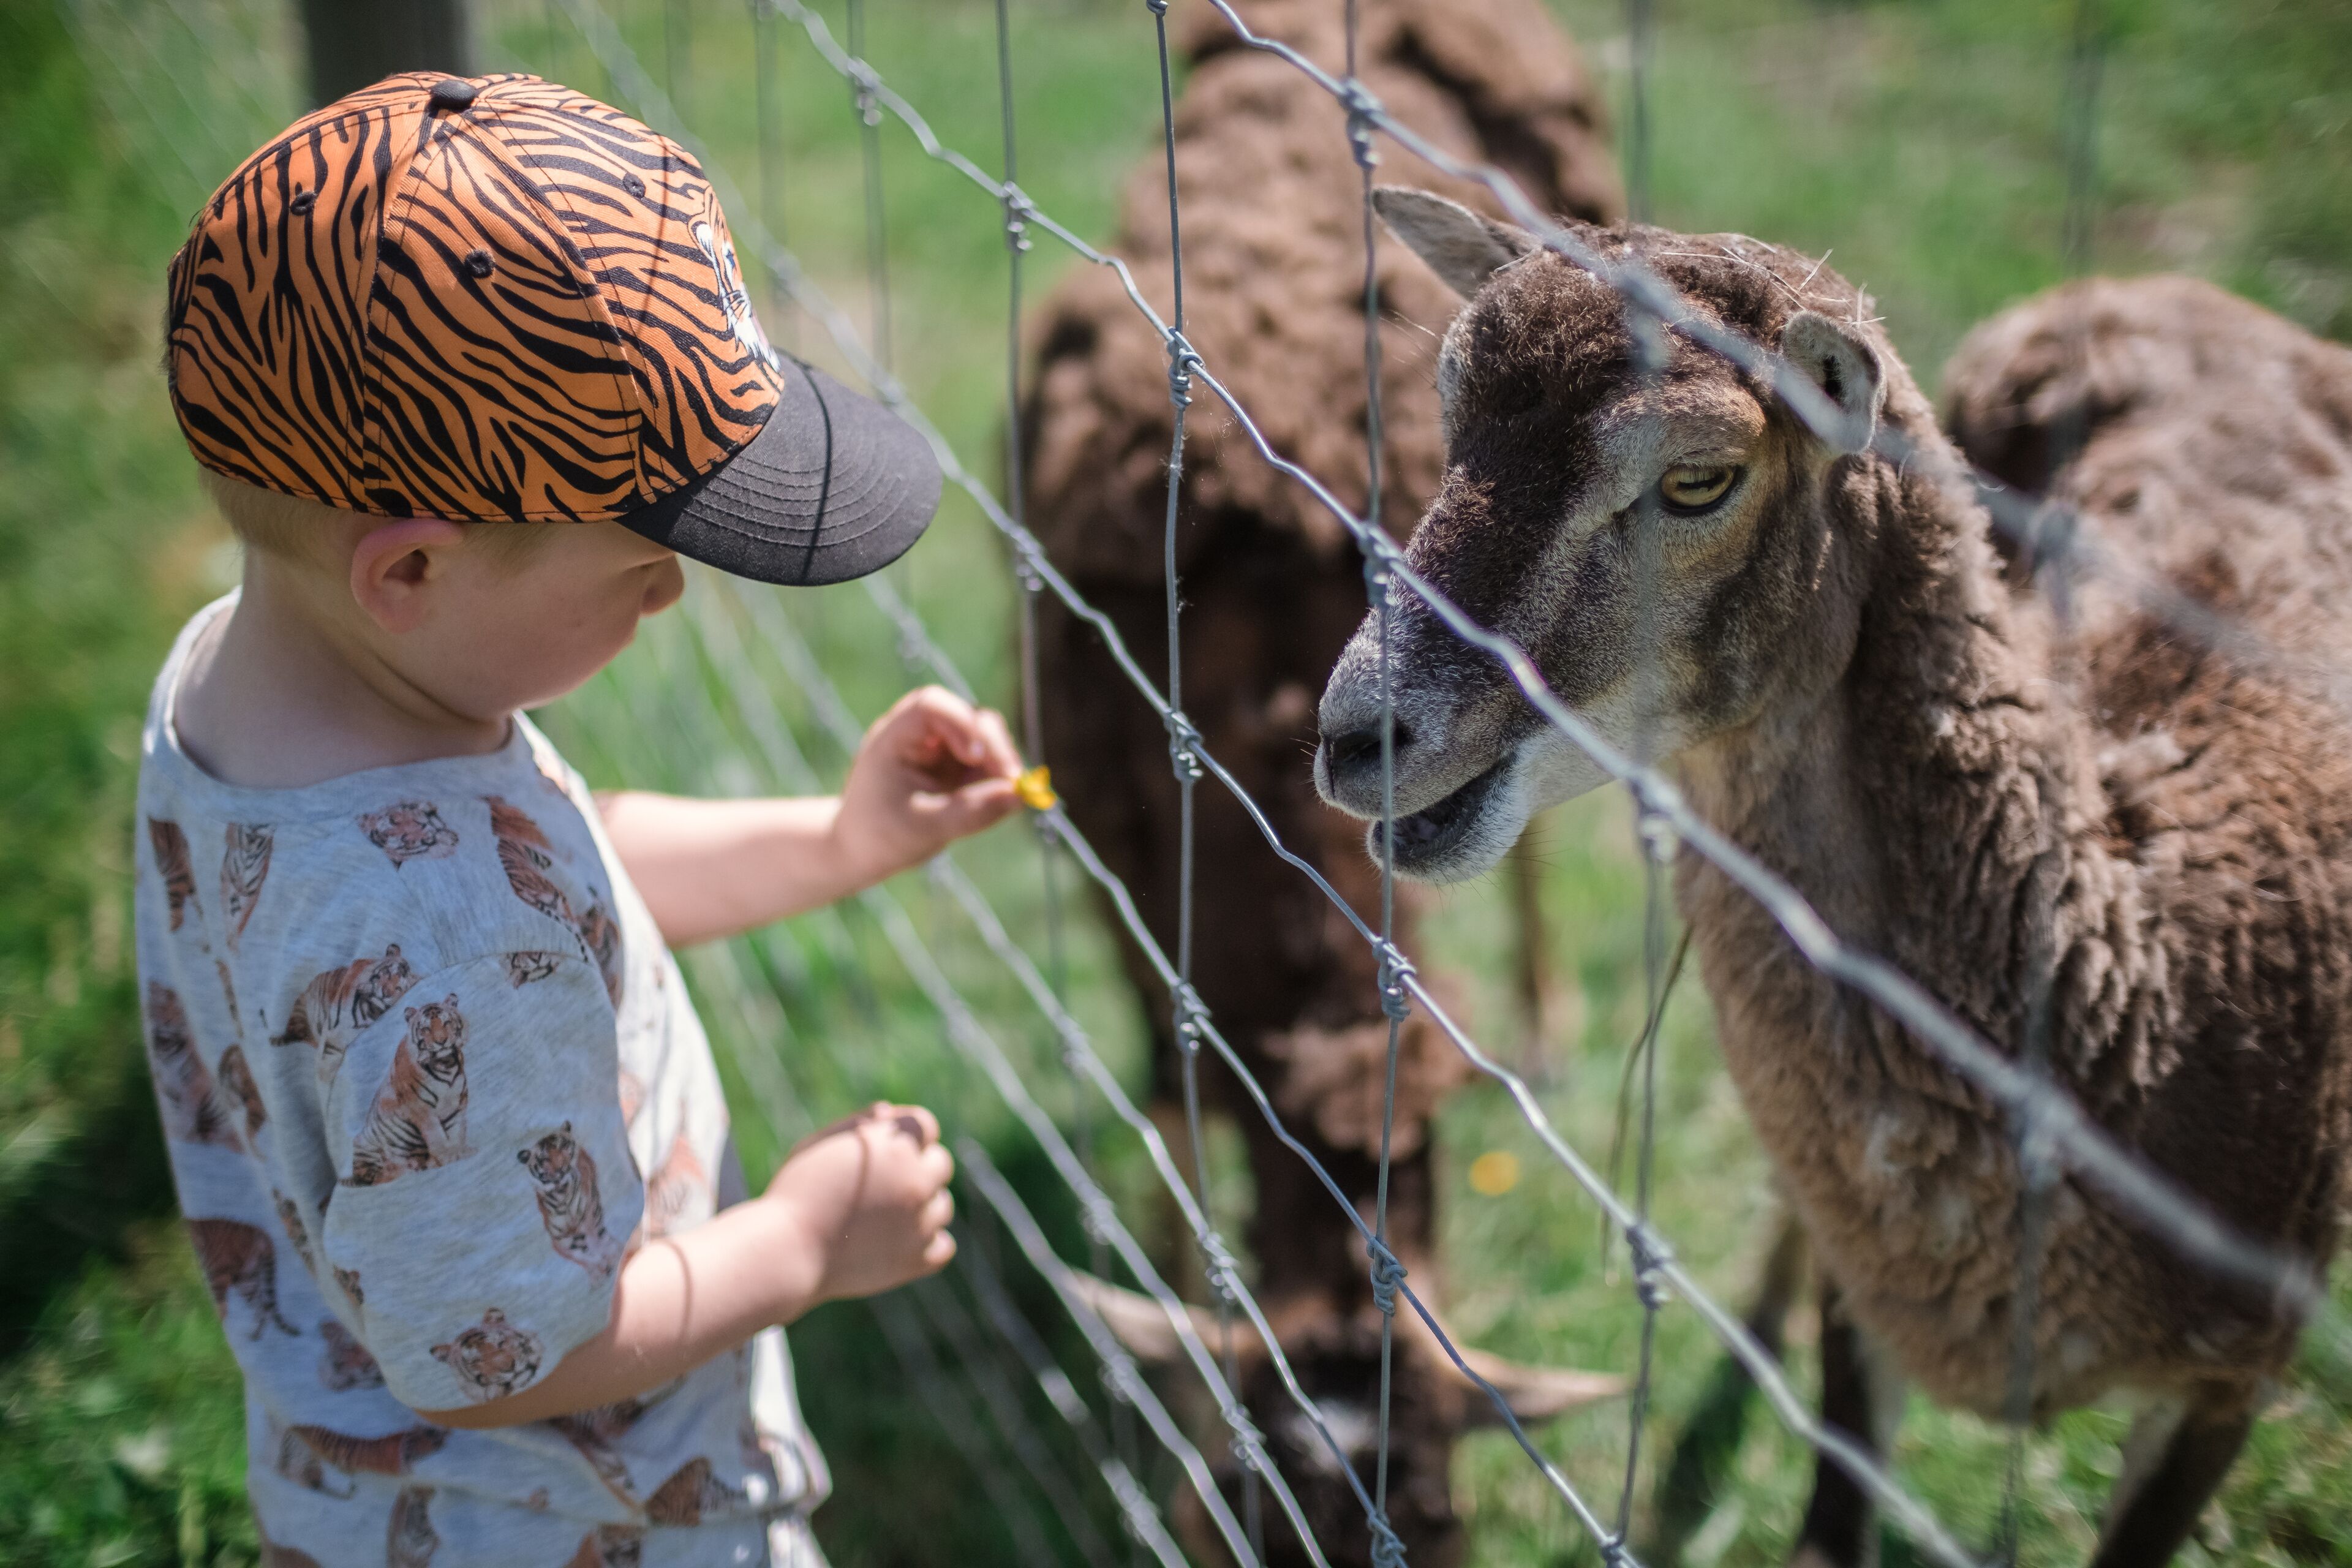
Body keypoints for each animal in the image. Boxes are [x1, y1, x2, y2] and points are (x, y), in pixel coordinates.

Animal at [1316, 189, 2352, 1567]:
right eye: (1448, 417)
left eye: (1700, 476)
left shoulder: (2233, 1379)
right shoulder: (1868, 1303)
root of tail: (2174, 293)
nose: (1355, 736)